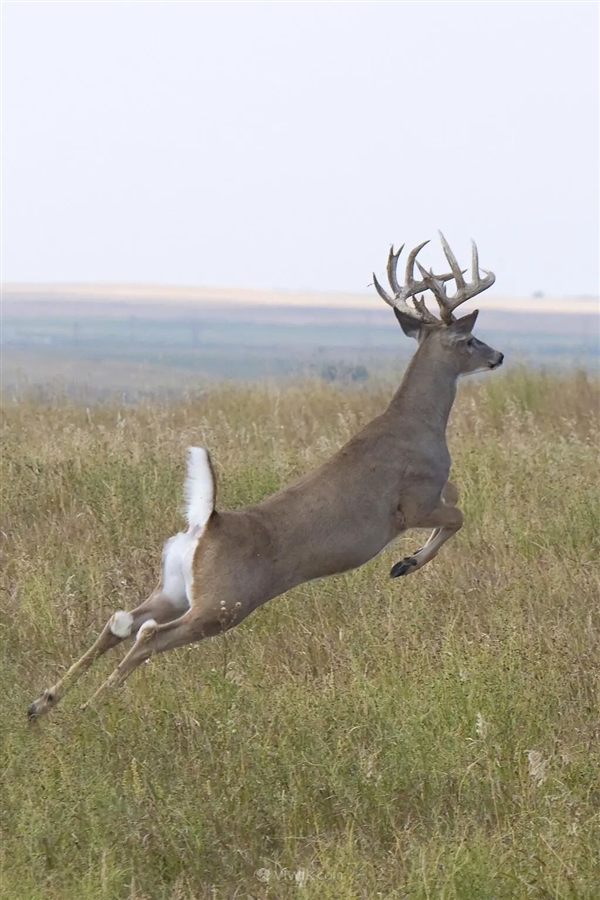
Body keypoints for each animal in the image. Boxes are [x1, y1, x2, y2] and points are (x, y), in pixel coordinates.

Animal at [27, 233, 503, 720]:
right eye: (470, 339)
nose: (498, 356)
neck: (418, 423)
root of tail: (207, 523)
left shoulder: (431, 494)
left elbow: (457, 497)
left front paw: (405, 562)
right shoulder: (413, 502)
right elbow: (459, 514)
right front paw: (404, 563)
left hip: (177, 589)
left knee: (119, 622)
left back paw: (42, 703)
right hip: (224, 604)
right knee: (147, 636)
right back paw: (88, 710)